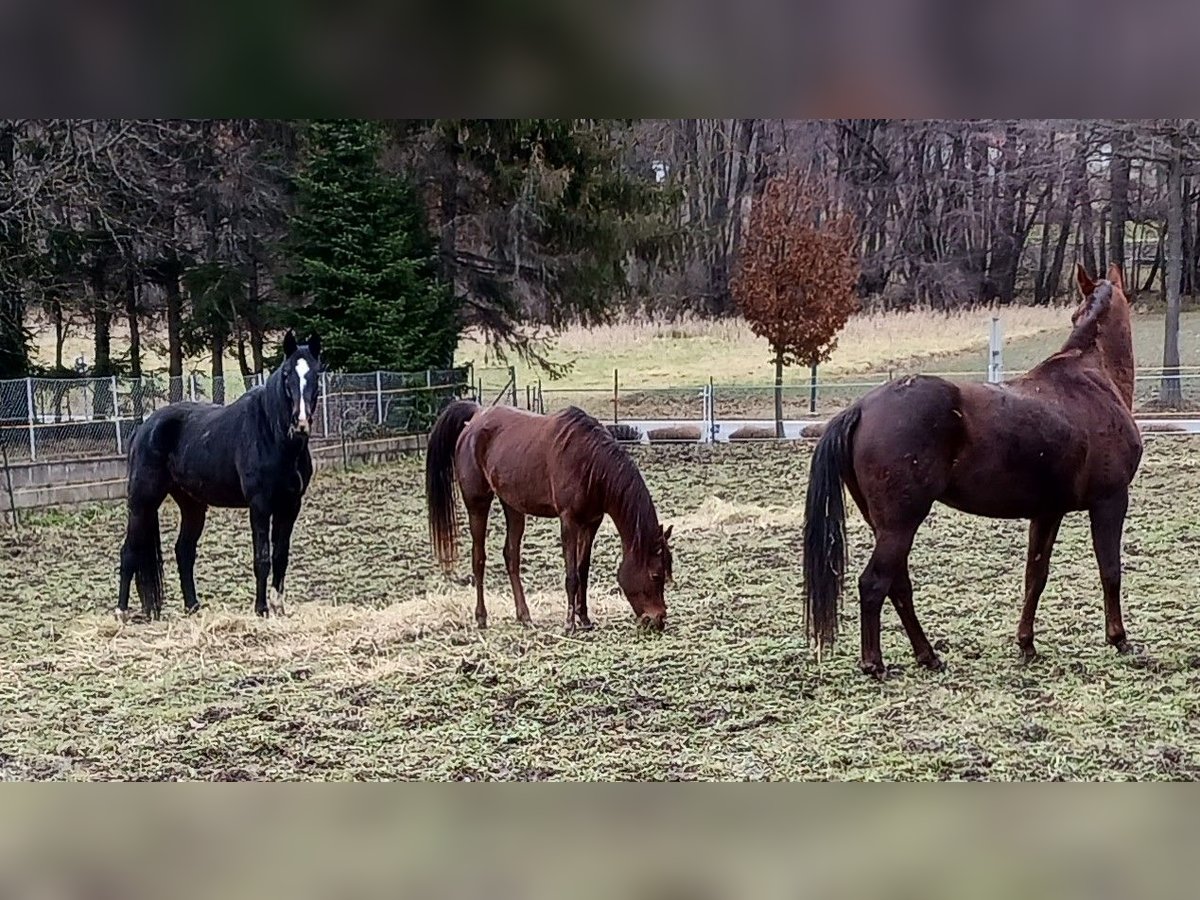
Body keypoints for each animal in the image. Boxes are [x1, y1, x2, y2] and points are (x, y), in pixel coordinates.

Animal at [117, 331, 324, 619]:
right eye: (286, 374)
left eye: (315, 373)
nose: (301, 422)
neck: (272, 433)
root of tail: (143, 429)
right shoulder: (260, 506)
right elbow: (262, 558)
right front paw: (261, 610)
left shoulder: (290, 505)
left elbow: (280, 556)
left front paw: (278, 608)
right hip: (142, 503)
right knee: (129, 552)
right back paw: (121, 612)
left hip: (192, 505)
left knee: (183, 551)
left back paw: (193, 607)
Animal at [427, 400, 676, 633]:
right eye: (656, 575)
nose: (659, 619)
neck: (590, 463)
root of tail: (476, 416)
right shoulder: (569, 521)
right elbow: (571, 575)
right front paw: (569, 624)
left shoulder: (591, 522)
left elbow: (582, 570)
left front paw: (584, 618)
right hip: (477, 503)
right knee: (478, 558)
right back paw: (481, 617)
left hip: (513, 506)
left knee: (511, 557)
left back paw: (524, 616)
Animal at [806, 264, 1142, 681]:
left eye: (1074, 314)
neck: (1093, 379)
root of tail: (862, 408)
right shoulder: (1110, 500)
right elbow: (1110, 570)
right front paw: (1119, 639)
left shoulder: (1047, 512)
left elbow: (1035, 576)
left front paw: (1026, 644)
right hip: (901, 524)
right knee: (874, 583)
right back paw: (875, 663)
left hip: (884, 524)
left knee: (898, 587)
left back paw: (928, 655)